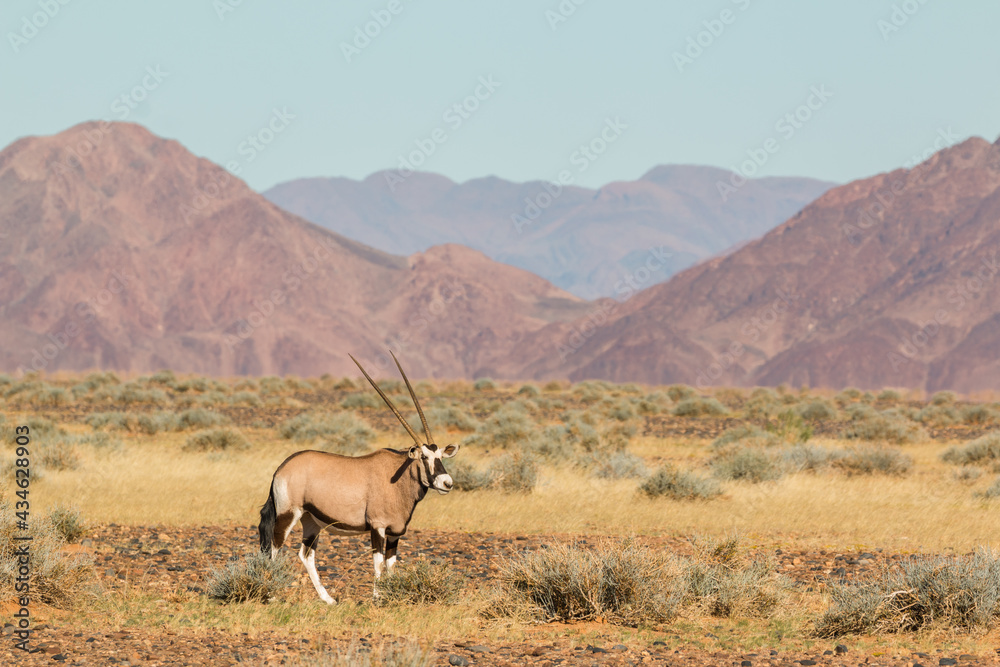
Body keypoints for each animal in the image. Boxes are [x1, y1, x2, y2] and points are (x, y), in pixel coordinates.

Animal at [257, 352, 458, 604]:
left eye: (440, 455)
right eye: (424, 456)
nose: (447, 483)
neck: (398, 477)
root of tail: (281, 469)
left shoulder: (395, 532)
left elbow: (391, 565)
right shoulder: (378, 527)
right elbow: (378, 563)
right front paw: (378, 597)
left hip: (311, 520)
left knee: (306, 554)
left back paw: (328, 599)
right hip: (288, 514)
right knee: (274, 548)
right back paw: (272, 595)